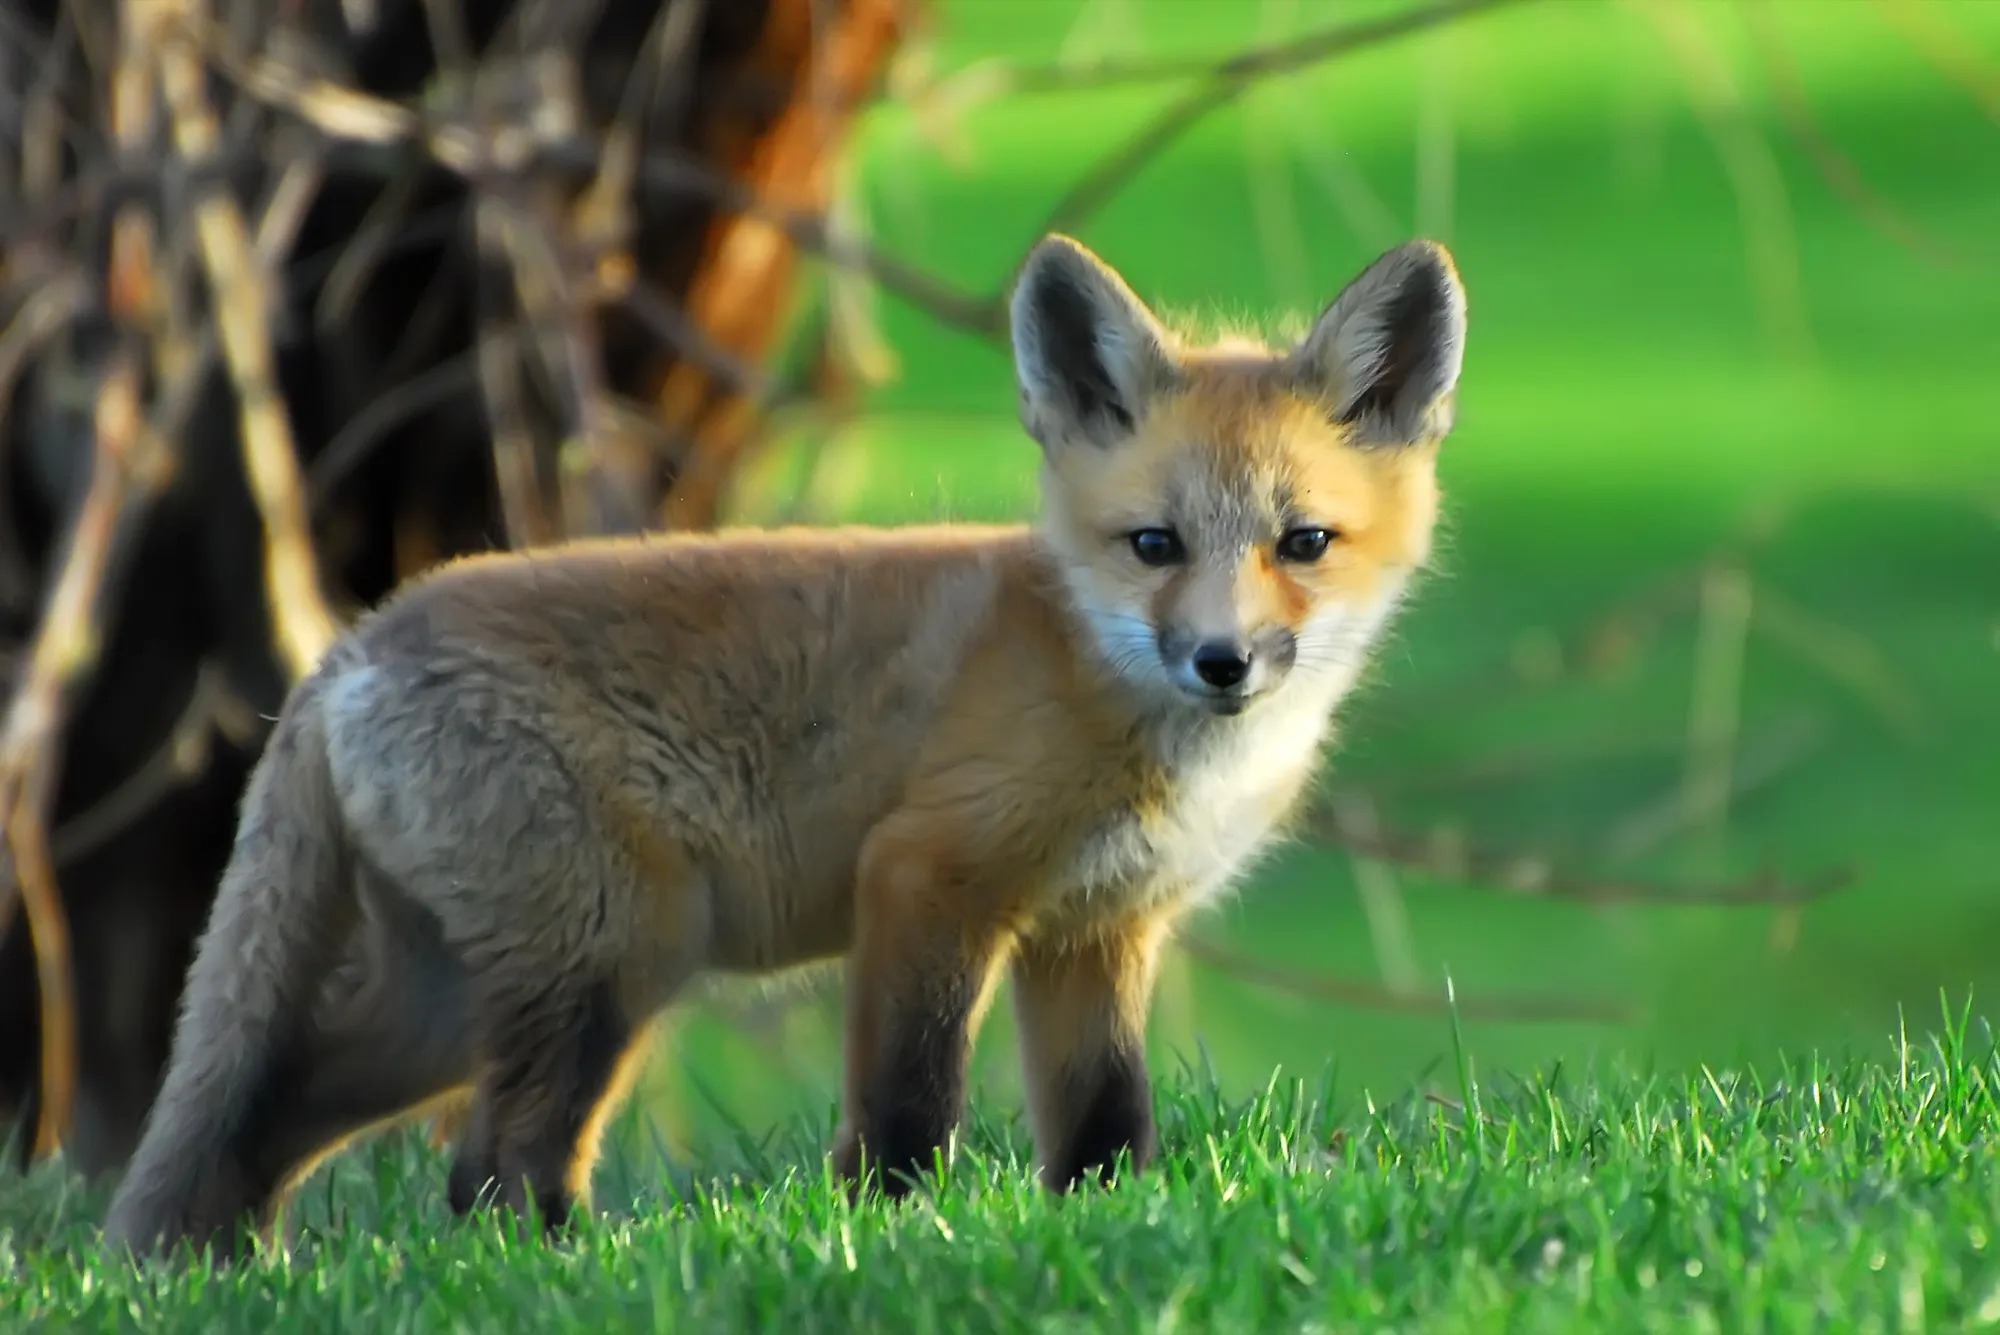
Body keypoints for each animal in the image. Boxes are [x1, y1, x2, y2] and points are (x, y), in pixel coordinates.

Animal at [99, 231, 1468, 1261]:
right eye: (1153, 546)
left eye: (1302, 544)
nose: (1220, 662)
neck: (1098, 682)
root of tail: (350, 646)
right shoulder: (924, 878)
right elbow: (908, 1111)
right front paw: (892, 1236)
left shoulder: (1096, 929)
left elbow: (1103, 1125)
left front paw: (1108, 1226)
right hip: (613, 958)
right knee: (487, 1168)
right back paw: (571, 1267)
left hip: (461, 996)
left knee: (278, 1117)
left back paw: (225, 1268)